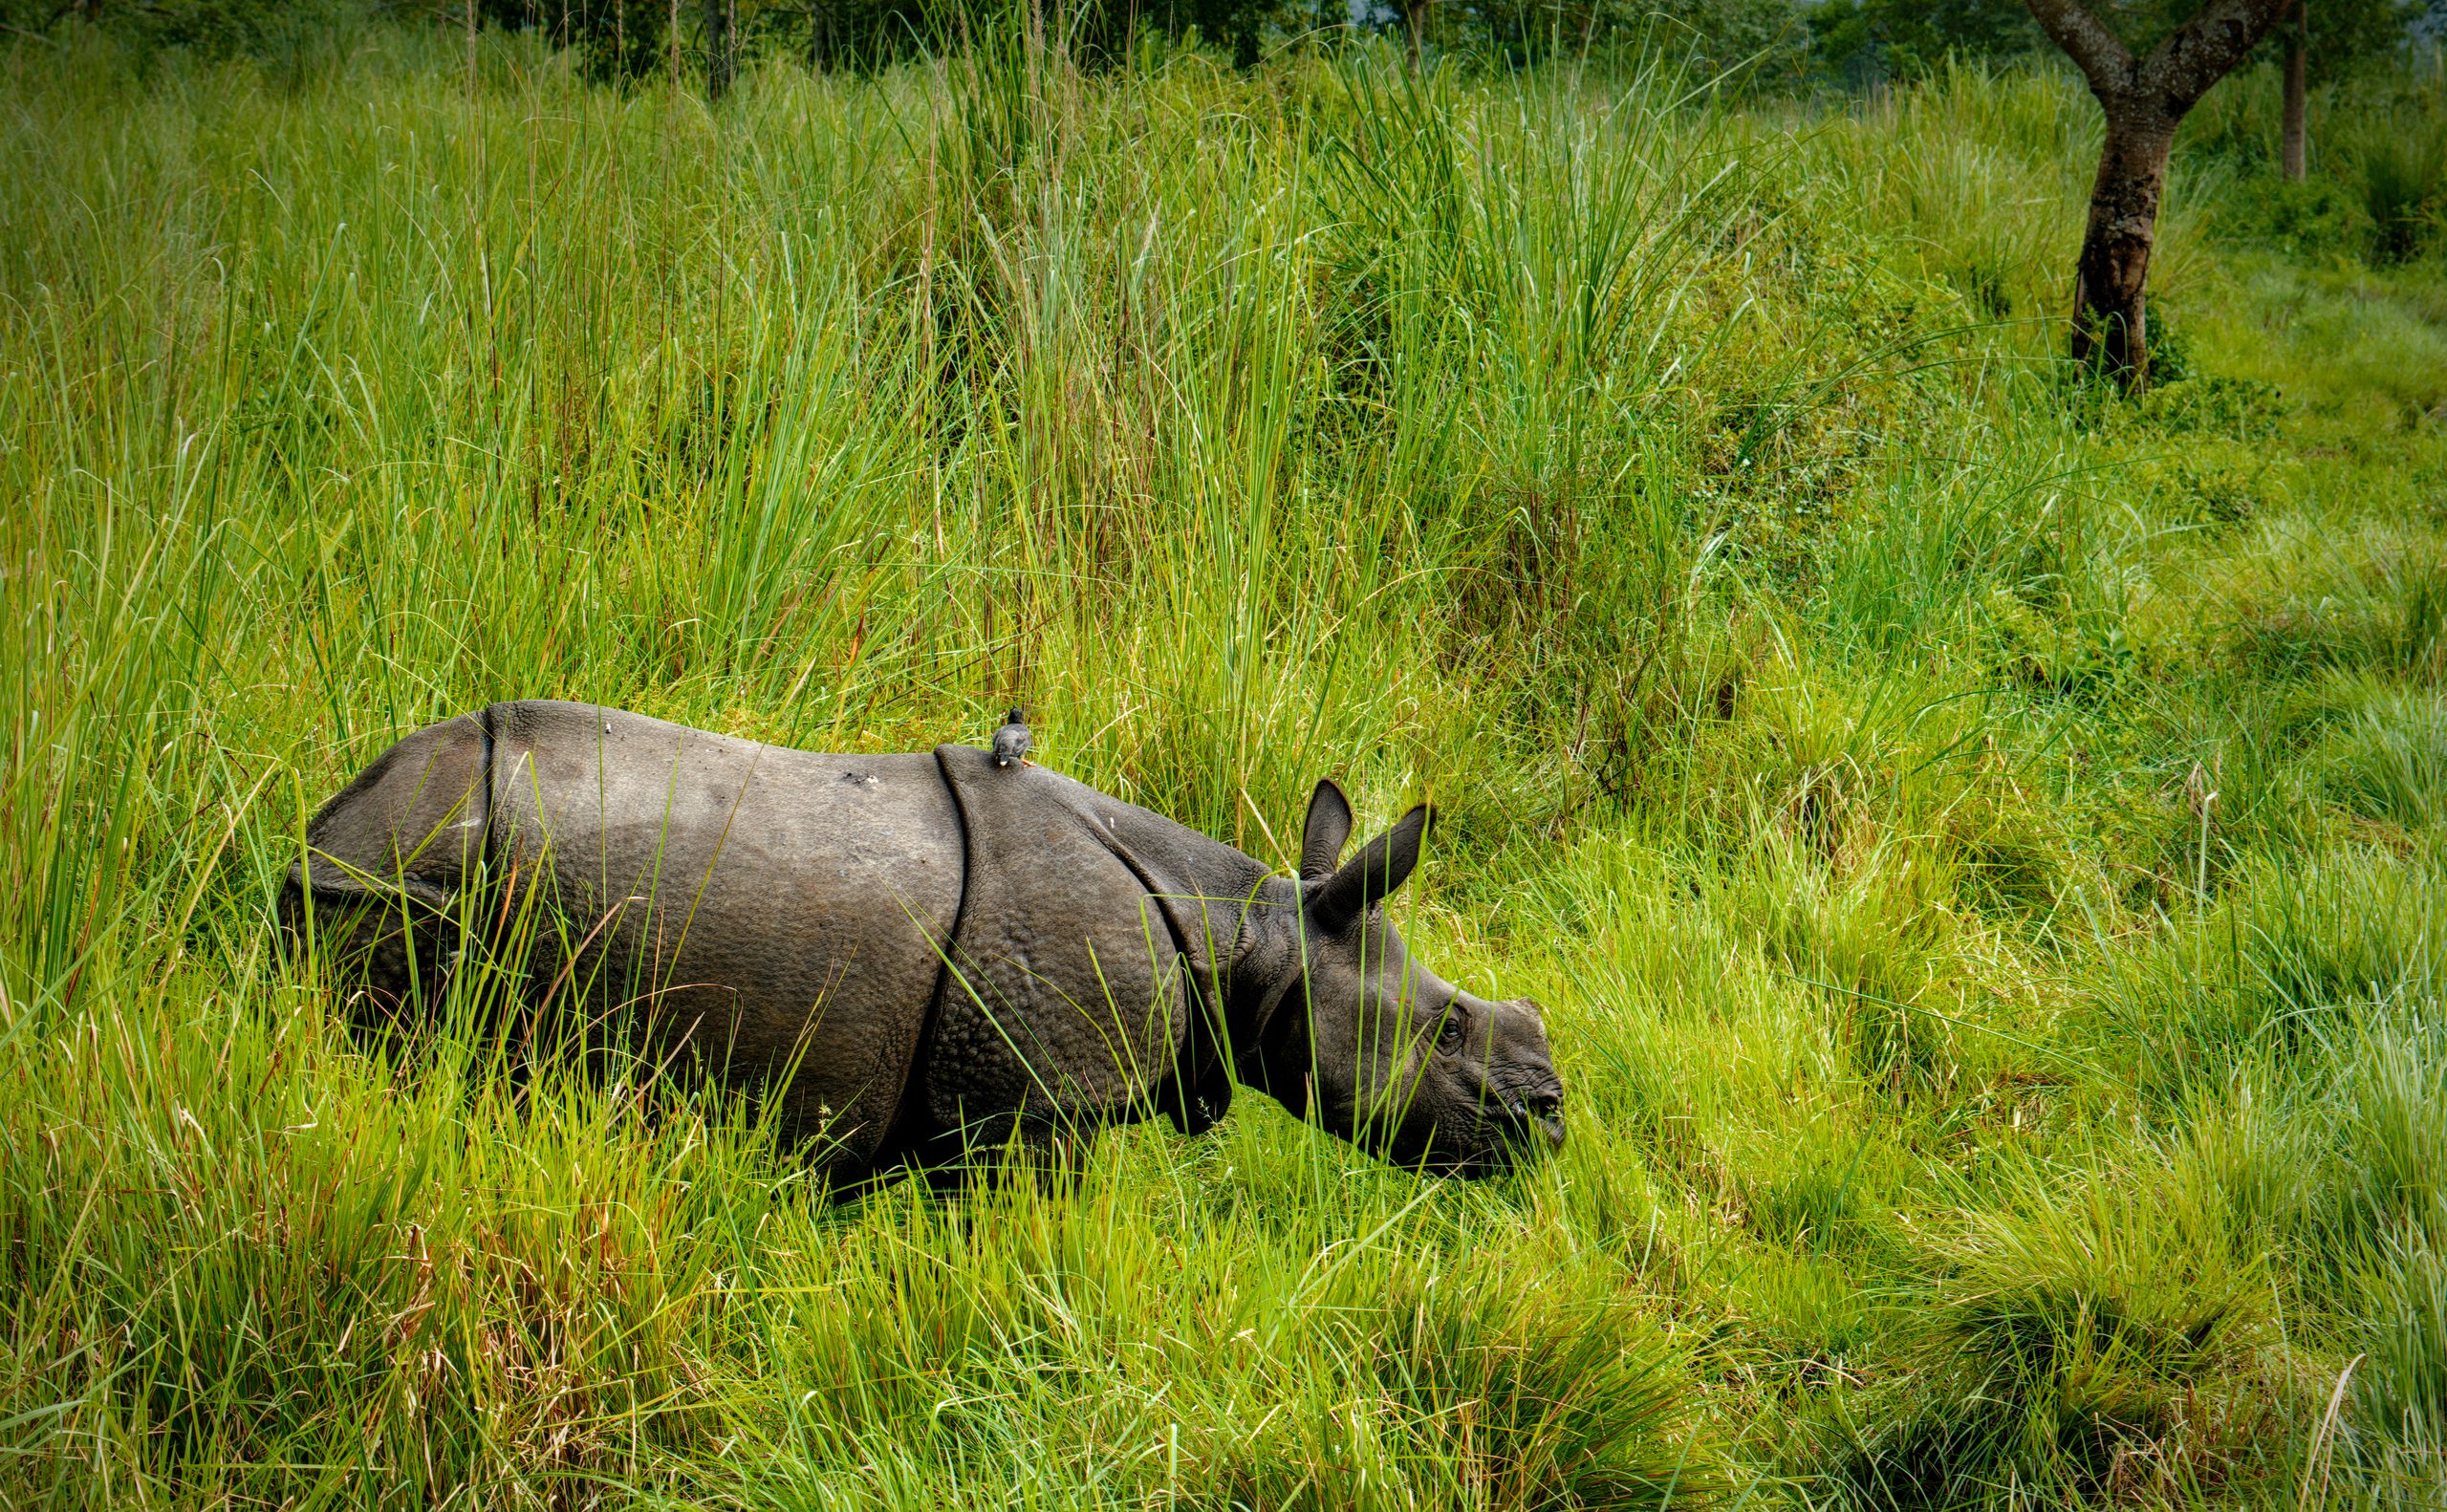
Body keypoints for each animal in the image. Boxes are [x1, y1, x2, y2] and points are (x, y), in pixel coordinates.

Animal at [284, 701, 1564, 1182]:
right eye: (1449, 1028)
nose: (1551, 1117)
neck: (1255, 933)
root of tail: (334, 821)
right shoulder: (1038, 1107)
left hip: (422, 863)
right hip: (407, 882)